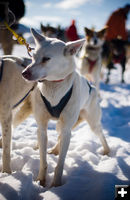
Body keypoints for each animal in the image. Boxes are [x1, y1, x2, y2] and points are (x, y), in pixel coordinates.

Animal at [22, 28, 109, 187]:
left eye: (46, 59)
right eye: (33, 57)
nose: (24, 73)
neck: (54, 86)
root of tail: (92, 86)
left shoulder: (67, 127)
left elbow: (60, 163)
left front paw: (56, 185)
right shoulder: (42, 128)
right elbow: (43, 159)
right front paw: (41, 181)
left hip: (91, 122)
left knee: (100, 134)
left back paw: (107, 151)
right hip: (61, 125)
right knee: (60, 136)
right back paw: (55, 149)